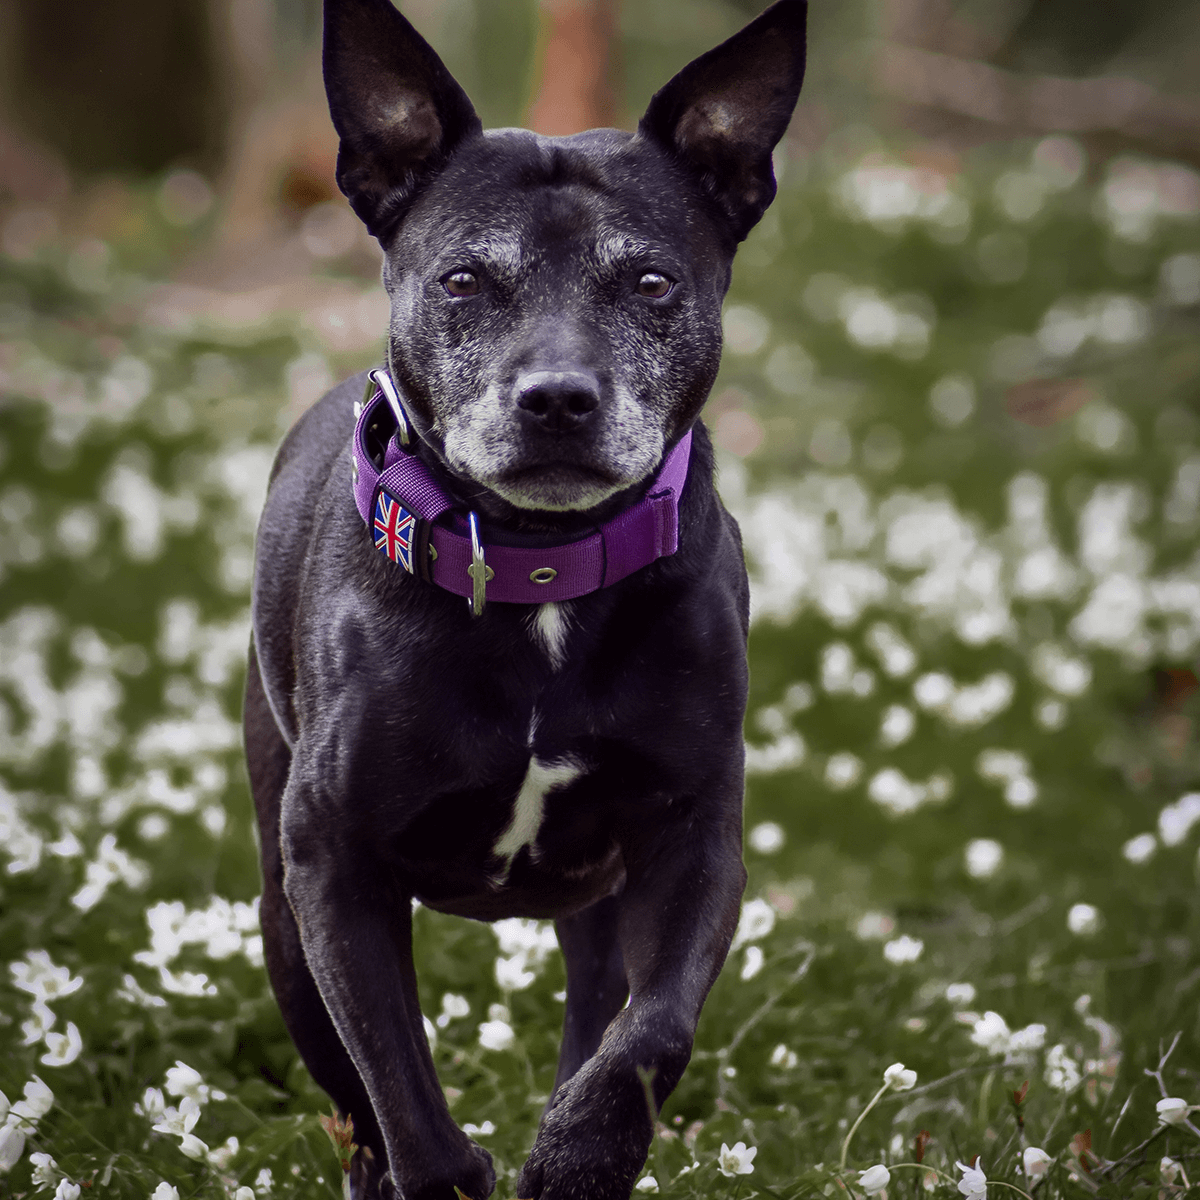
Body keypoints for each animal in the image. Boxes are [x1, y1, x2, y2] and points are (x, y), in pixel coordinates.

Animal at [243, 4, 806, 1195]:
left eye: (651, 284)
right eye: (463, 282)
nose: (557, 398)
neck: (543, 570)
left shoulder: (693, 839)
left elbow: (652, 1034)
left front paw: (583, 1154)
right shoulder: (334, 868)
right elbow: (394, 1081)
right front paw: (448, 1168)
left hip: (595, 905)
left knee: (602, 1011)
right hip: (278, 911)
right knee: (349, 1092)